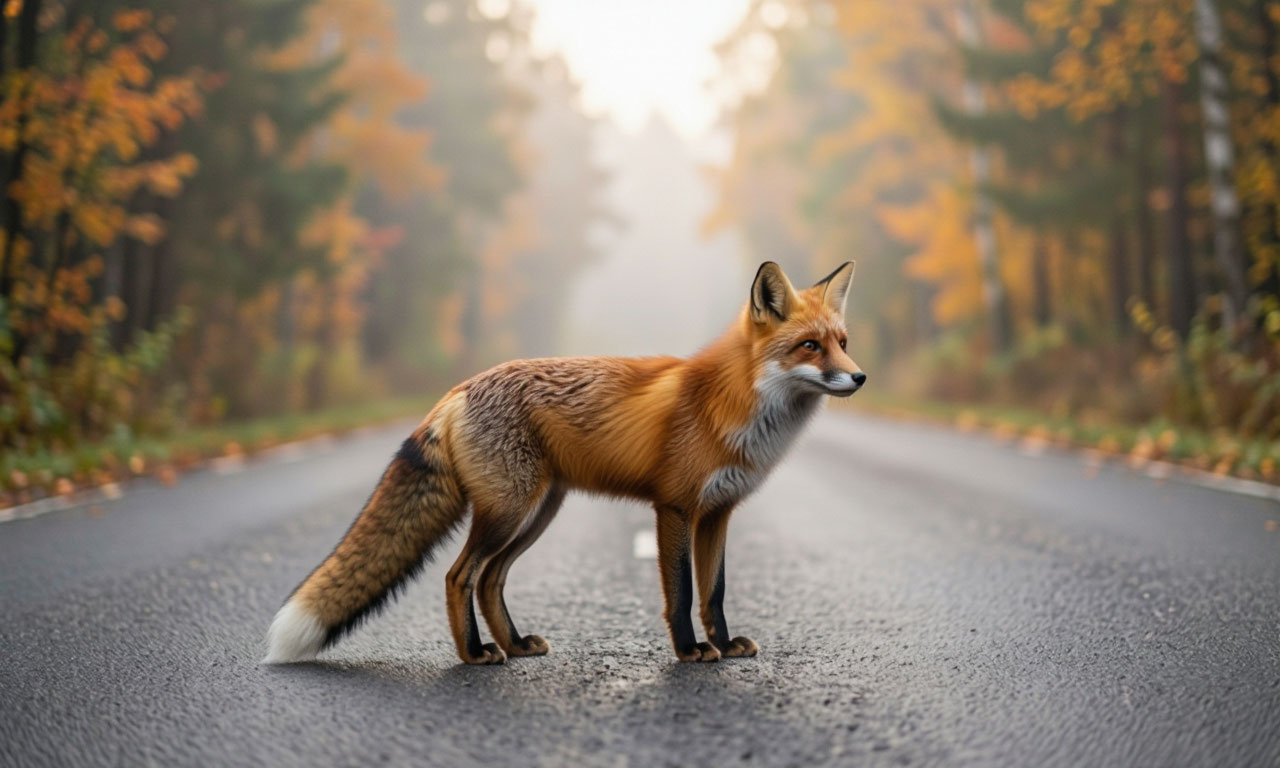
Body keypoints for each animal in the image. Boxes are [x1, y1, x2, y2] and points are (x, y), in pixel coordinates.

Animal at [264, 261, 865, 665]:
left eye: (843, 342)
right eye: (810, 347)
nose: (859, 377)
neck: (733, 406)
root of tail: (459, 388)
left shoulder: (718, 512)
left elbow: (713, 592)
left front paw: (722, 643)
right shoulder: (674, 507)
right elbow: (681, 592)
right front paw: (690, 651)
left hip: (538, 513)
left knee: (490, 579)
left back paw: (513, 645)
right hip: (509, 510)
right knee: (460, 576)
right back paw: (475, 655)